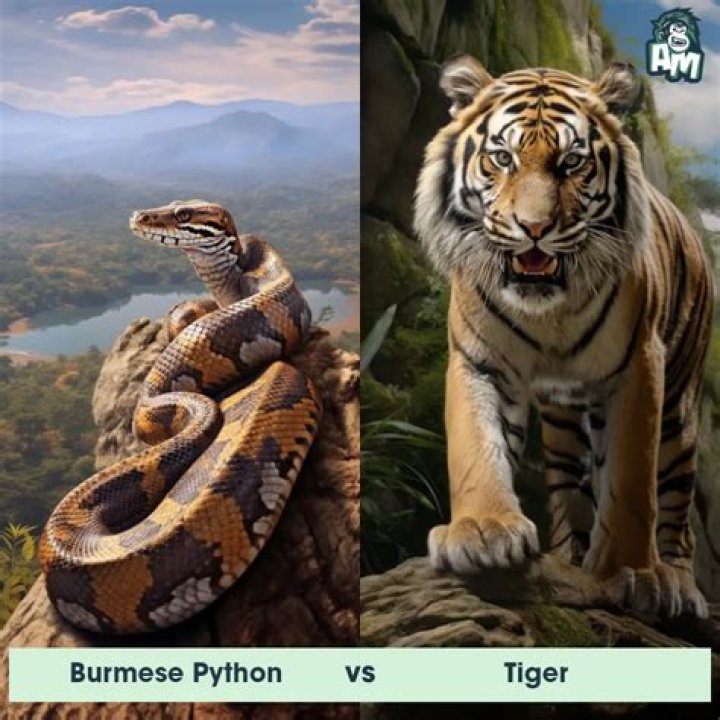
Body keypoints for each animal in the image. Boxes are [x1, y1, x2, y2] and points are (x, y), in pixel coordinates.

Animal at [414, 56, 713, 617]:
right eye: (503, 158)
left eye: (572, 163)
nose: (533, 228)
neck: (546, 311)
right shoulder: (480, 361)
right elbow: (475, 446)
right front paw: (481, 532)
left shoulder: (639, 367)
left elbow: (632, 480)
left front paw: (633, 572)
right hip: (563, 424)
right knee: (571, 490)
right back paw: (570, 558)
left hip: (680, 414)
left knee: (677, 510)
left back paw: (679, 584)